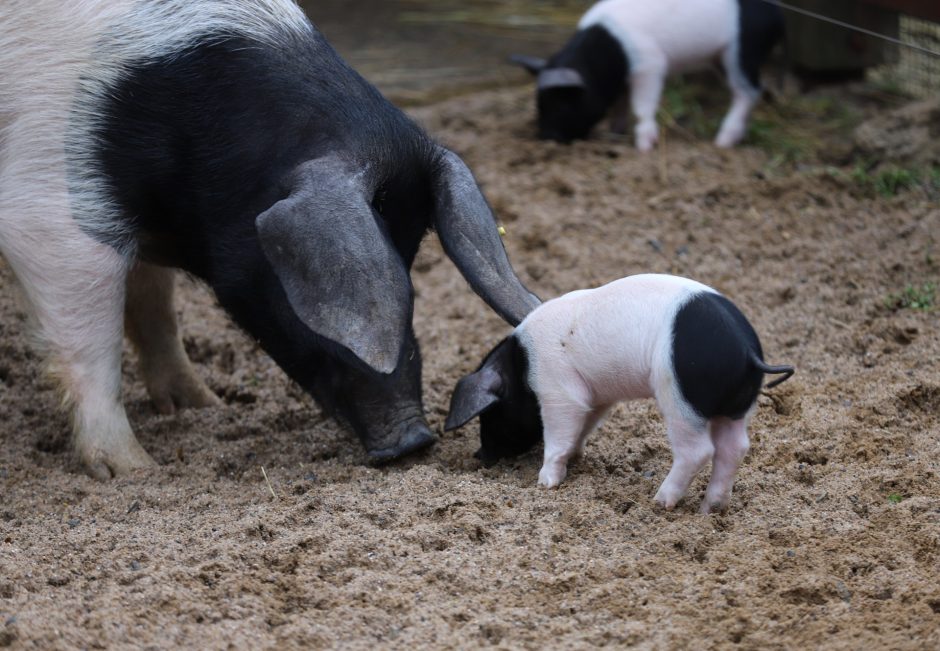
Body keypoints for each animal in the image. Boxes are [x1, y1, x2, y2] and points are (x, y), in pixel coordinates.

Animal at [0, 0, 540, 478]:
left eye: (412, 274)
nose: (415, 440)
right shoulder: (54, 212)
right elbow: (93, 346)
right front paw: (134, 471)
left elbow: (155, 308)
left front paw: (201, 405)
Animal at [448, 276, 792, 516]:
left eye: (491, 414)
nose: (480, 457)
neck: (521, 366)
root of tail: (748, 352)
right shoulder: (596, 398)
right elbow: (581, 429)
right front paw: (575, 458)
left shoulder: (558, 390)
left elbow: (558, 437)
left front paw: (544, 482)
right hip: (735, 408)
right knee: (735, 448)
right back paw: (710, 510)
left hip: (680, 399)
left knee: (698, 451)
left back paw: (659, 502)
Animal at [510, 0, 784, 148]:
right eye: (539, 105)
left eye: (563, 104)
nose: (547, 138)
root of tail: (776, 13)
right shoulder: (620, 81)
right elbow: (619, 107)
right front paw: (614, 136)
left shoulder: (650, 65)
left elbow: (642, 106)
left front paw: (643, 147)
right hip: (720, 57)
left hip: (744, 49)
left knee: (749, 90)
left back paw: (722, 142)